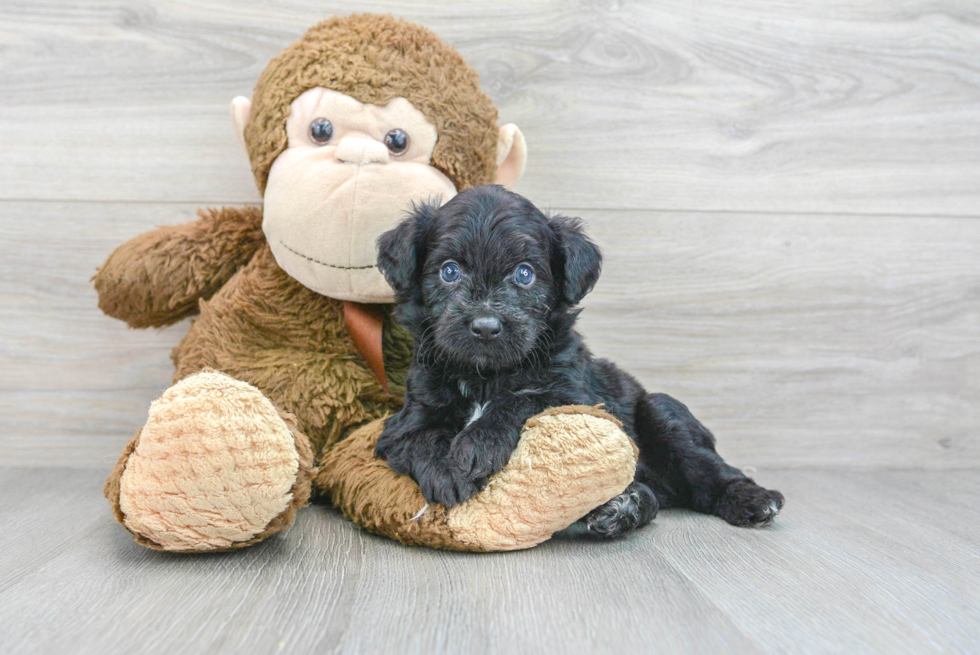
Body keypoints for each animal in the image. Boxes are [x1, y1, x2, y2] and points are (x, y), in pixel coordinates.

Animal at [372, 186, 784, 540]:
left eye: (524, 274)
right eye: (449, 271)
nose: (486, 326)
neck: (486, 376)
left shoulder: (573, 396)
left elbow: (525, 400)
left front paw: (477, 445)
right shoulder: (404, 422)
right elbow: (422, 436)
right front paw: (447, 470)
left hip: (662, 412)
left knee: (709, 471)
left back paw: (752, 500)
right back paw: (624, 506)